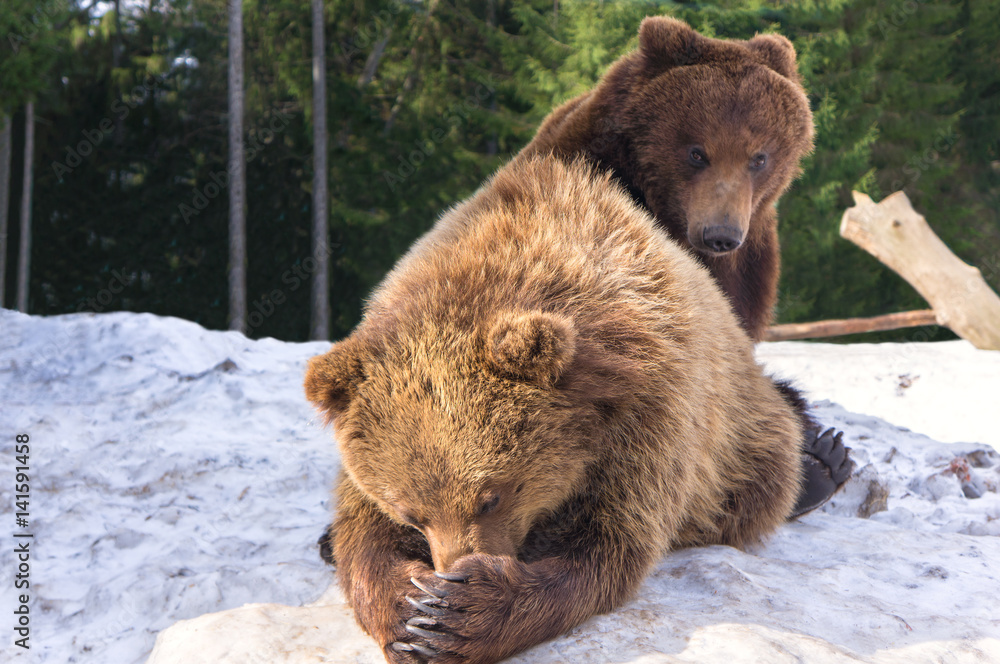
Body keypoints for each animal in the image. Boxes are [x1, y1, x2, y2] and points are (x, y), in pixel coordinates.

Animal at [305, 155, 807, 664]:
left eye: (492, 496)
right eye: (411, 514)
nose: (454, 566)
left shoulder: (650, 412)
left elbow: (609, 544)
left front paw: (462, 610)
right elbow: (362, 531)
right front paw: (411, 608)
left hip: (743, 444)